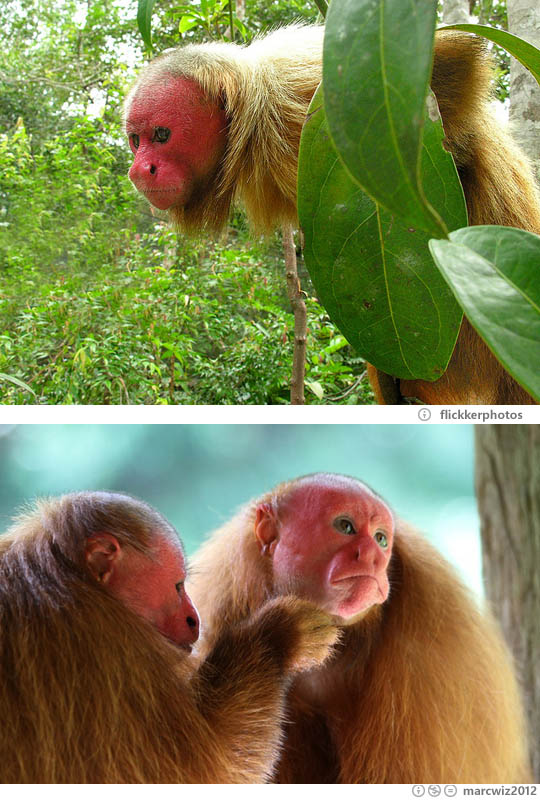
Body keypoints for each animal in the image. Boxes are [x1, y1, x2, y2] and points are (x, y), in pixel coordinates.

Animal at [0, 490, 338, 784]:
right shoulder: (100, 648)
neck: (72, 577)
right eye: (177, 585)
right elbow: (206, 768)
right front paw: (282, 634)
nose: (194, 620)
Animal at [124, 25, 540, 406]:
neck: (250, 124)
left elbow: (453, 63)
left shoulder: (301, 92)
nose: (140, 170)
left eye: (161, 135)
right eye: (136, 141)